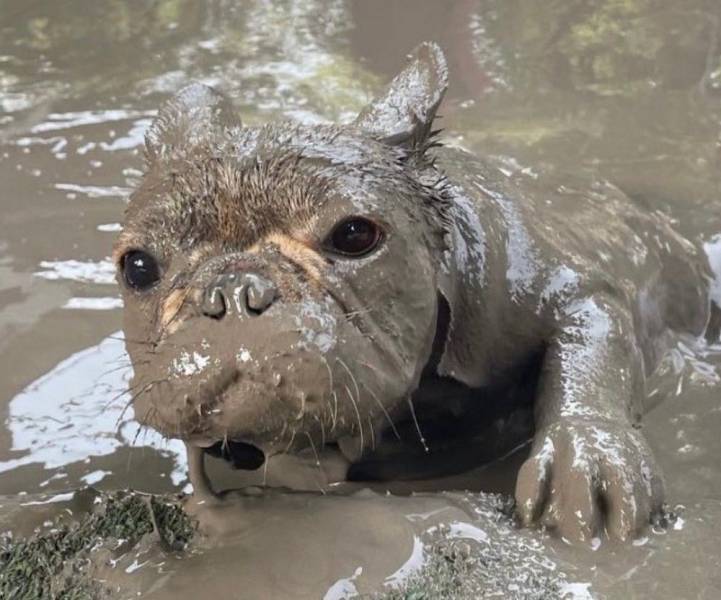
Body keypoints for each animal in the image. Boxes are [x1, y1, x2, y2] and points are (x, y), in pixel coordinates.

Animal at [112, 43, 716, 544]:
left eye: (354, 235)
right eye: (137, 267)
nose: (233, 291)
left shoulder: (562, 290)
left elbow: (587, 345)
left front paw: (586, 456)